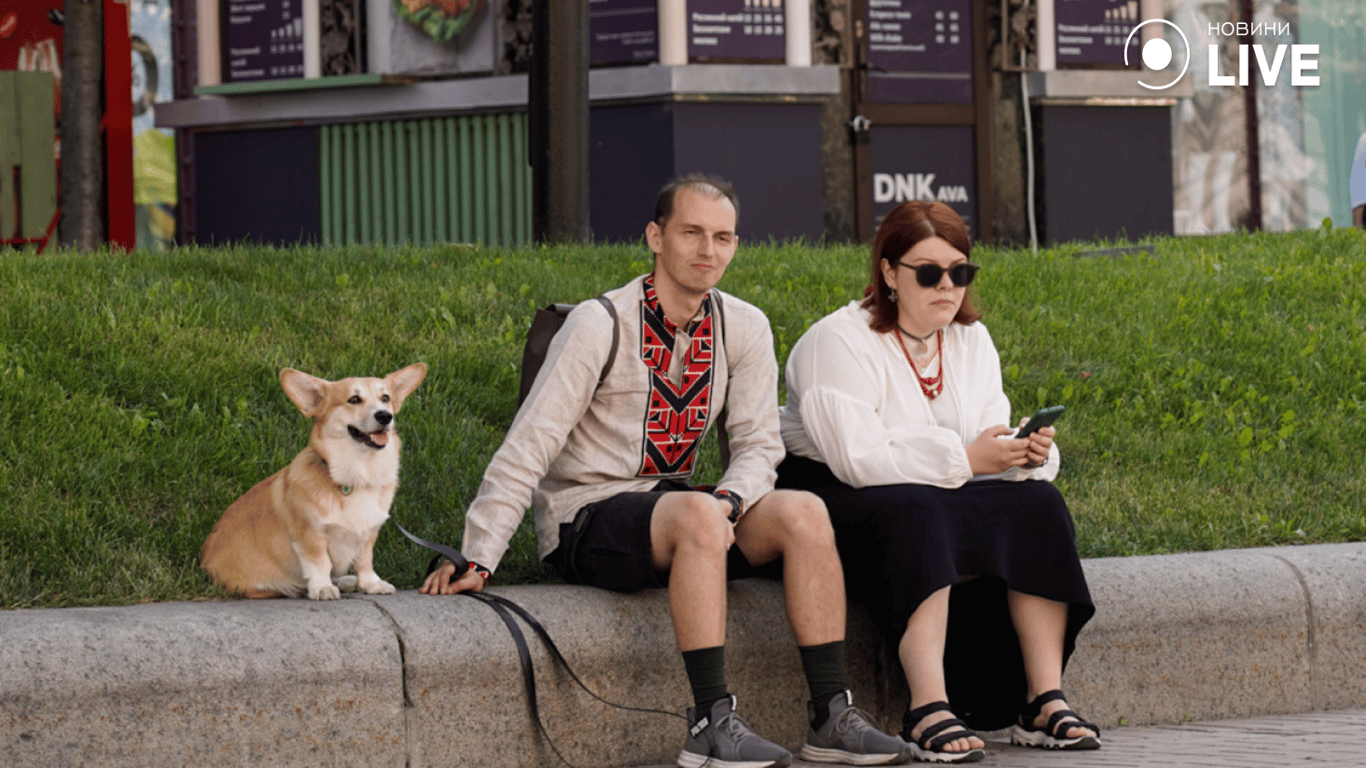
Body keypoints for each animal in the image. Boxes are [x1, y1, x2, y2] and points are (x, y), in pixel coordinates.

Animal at [199, 363, 426, 598]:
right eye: (354, 399)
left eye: (386, 398)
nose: (385, 416)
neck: (356, 475)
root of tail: (204, 560)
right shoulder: (310, 535)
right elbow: (320, 563)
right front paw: (323, 588)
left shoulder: (368, 534)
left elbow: (365, 562)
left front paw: (371, 584)